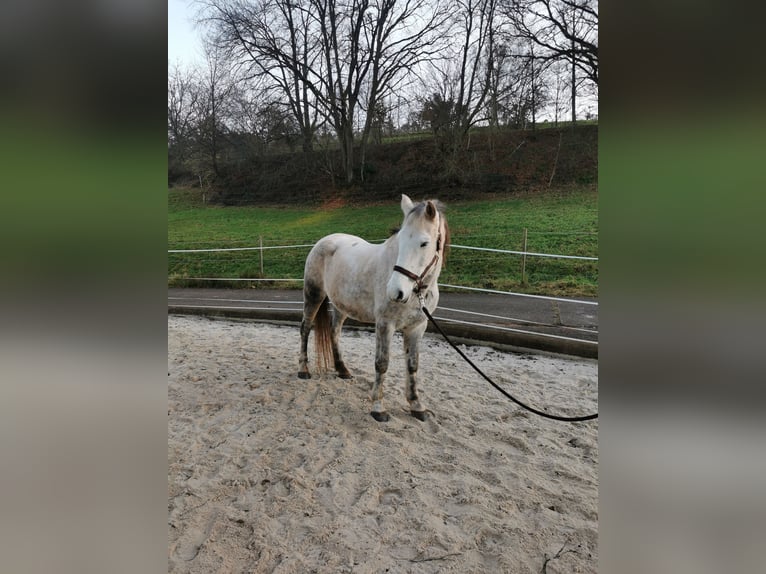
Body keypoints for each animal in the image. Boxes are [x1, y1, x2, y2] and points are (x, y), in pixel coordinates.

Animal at [298, 194, 450, 422]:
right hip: (313, 295)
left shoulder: (417, 328)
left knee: (334, 331)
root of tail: (325, 241)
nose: (396, 292)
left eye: (424, 243)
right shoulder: (385, 324)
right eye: (400, 240)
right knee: (305, 328)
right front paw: (378, 407)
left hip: (341, 306)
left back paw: (342, 370)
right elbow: (382, 362)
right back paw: (303, 370)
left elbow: (412, 365)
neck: (417, 292)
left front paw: (416, 406)